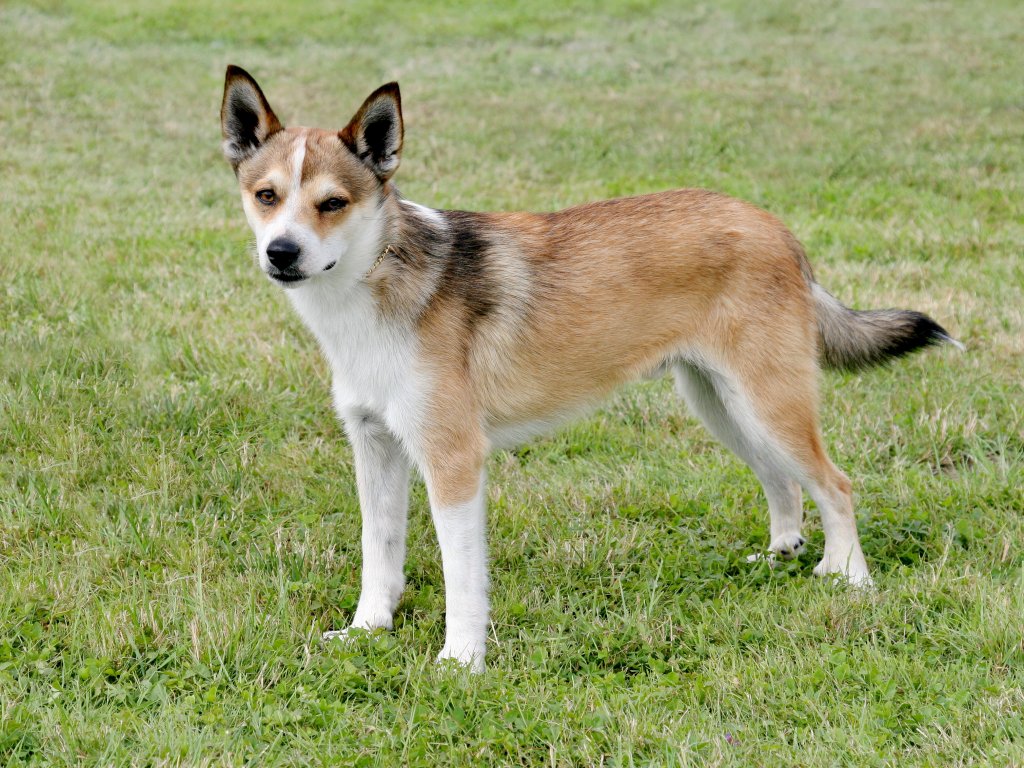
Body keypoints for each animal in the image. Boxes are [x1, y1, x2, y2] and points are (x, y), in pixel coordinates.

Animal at [218, 66, 958, 671]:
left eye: (332, 203)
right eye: (266, 195)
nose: (282, 253)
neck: (377, 283)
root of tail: (775, 227)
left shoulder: (453, 462)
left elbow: (462, 579)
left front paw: (461, 660)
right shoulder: (376, 449)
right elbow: (381, 555)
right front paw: (368, 630)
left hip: (769, 402)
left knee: (836, 485)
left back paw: (848, 576)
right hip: (724, 406)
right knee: (785, 485)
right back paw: (782, 555)